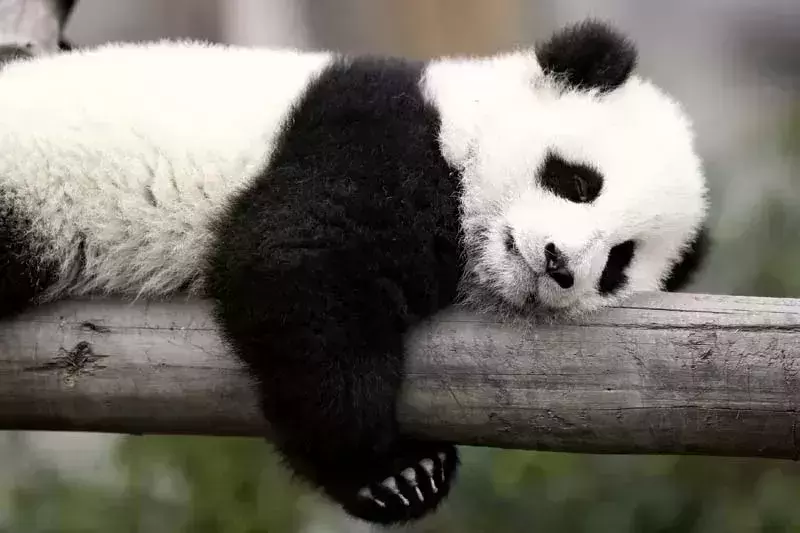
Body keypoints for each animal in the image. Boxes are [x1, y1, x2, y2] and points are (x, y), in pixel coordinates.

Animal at [0, 20, 708, 525]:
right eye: (578, 181)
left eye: (618, 261)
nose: (559, 265)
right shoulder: (378, 137)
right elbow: (294, 266)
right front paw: (394, 470)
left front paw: (396, 480)